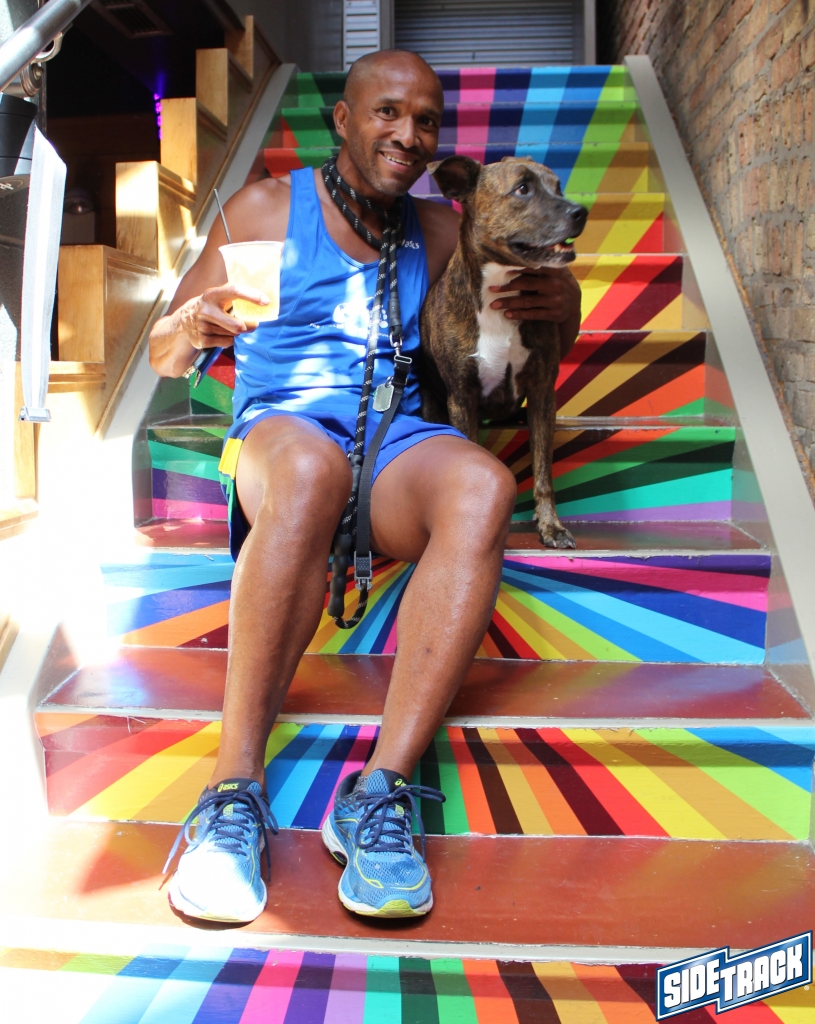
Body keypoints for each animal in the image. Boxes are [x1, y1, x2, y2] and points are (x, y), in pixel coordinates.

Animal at [419, 155, 587, 549]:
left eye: (558, 186)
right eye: (522, 188)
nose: (581, 211)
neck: (502, 289)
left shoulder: (543, 393)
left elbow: (543, 471)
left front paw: (551, 526)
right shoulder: (462, 398)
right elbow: (473, 455)